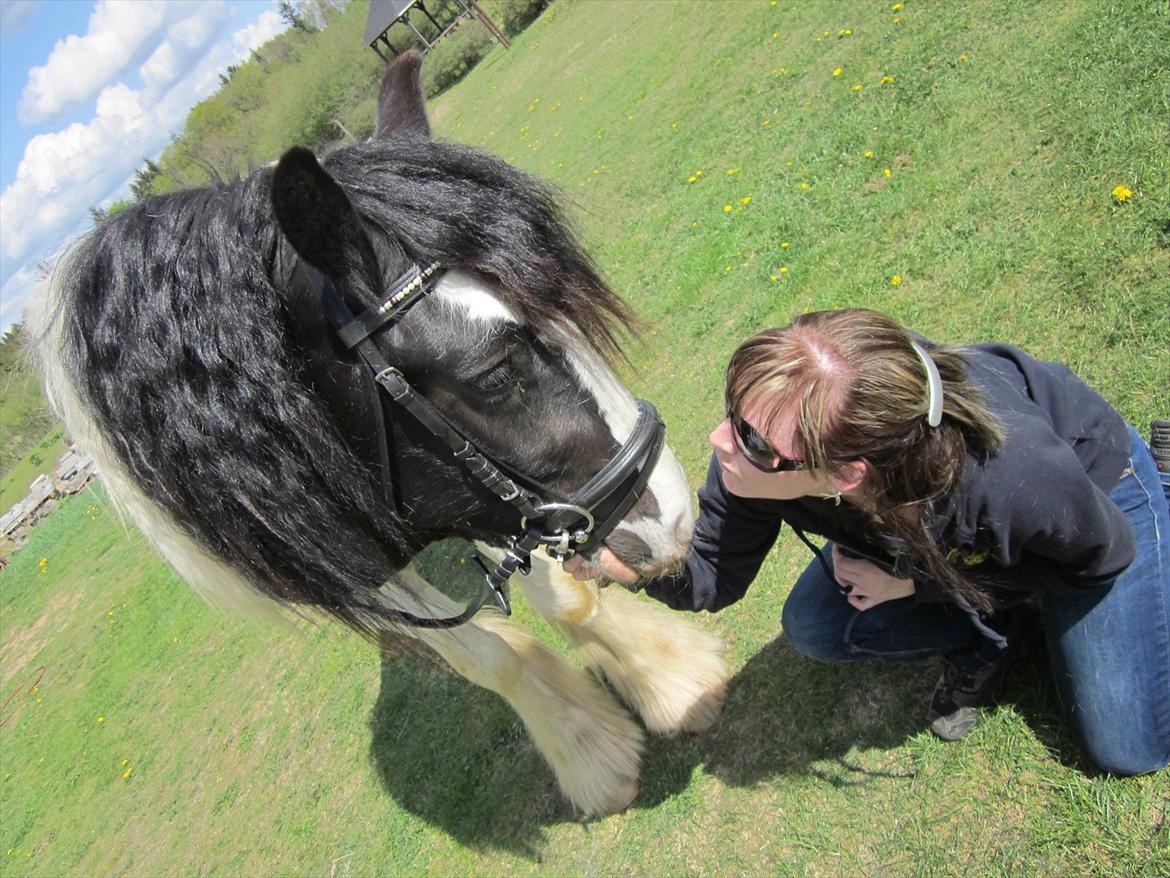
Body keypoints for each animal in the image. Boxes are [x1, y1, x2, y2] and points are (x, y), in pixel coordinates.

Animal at [32, 47, 725, 819]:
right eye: (493, 373)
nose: (675, 517)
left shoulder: (463, 488)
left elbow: (556, 592)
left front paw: (666, 677)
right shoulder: (354, 564)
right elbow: (484, 654)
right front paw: (587, 748)